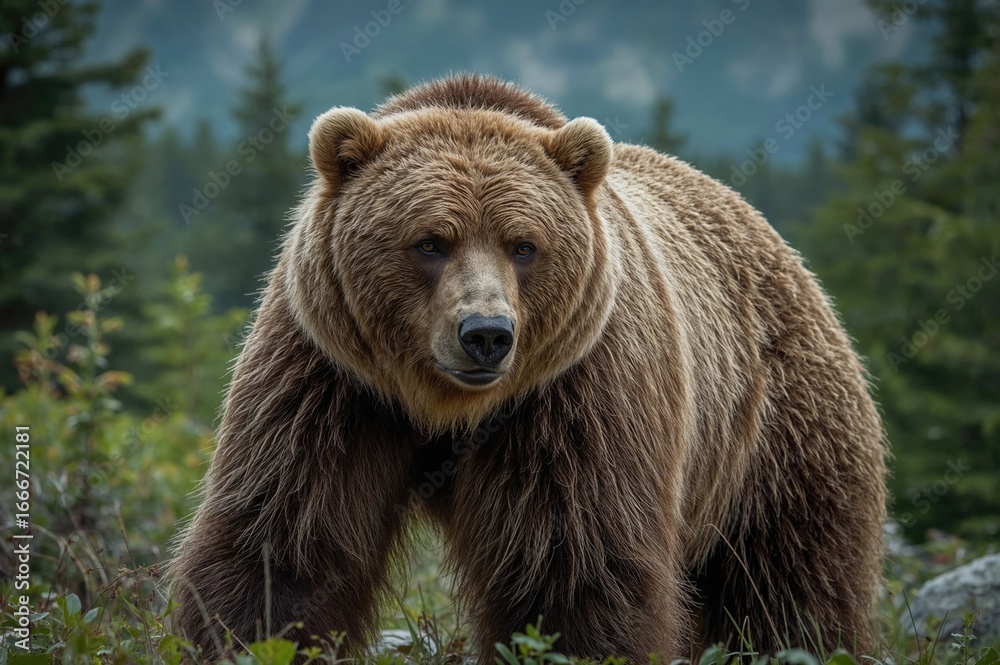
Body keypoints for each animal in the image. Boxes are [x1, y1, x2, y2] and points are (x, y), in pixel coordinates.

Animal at [169, 74, 887, 663]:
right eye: (429, 242)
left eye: (524, 245)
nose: (486, 334)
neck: (446, 408)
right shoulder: (330, 378)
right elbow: (287, 539)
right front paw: (249, 635)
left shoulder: (576, 393)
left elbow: (575, 566)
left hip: (776, 433)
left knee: (790, 584)